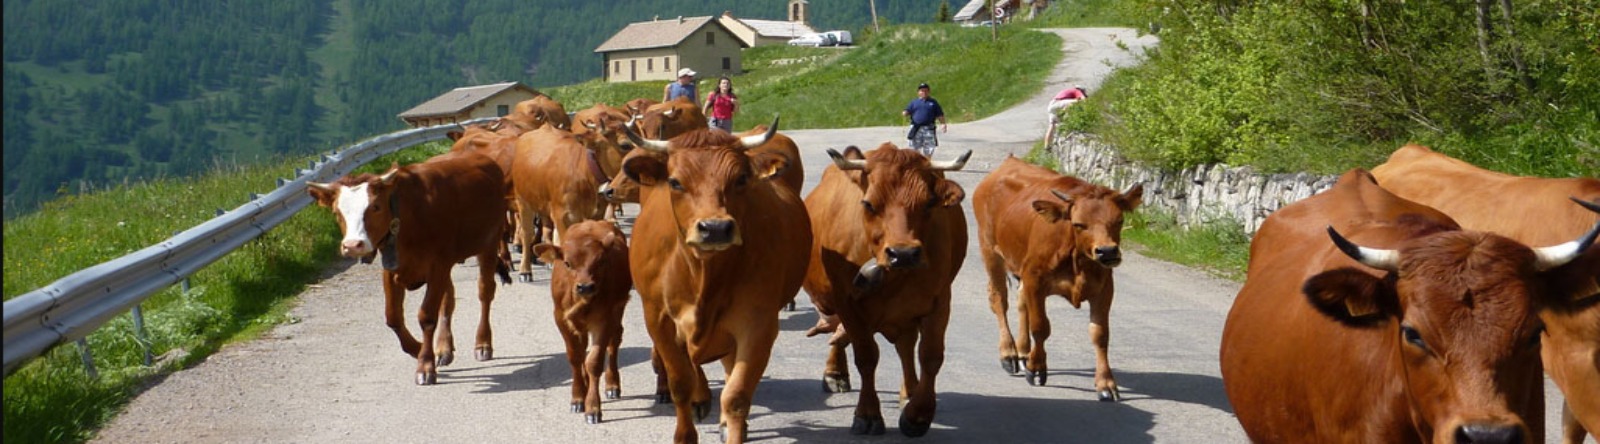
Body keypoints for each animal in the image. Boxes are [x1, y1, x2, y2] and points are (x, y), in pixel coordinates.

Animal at [306, 150, 510, 385]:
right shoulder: (392, 269)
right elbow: (393, 317)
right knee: (448, 301)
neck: (407, 218)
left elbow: (426, 316)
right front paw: (419, 348)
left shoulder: (438, 265)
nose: (352, 245)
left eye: (375, 207)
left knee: (485, 292)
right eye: (337, 212)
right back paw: (444, 348)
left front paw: (425, 364)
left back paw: (483, 343)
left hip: (489, 243)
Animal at [530, 220, 632, 425]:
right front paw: (578, 397)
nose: (585, 286)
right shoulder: (561, 319)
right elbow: (575, 357)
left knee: (614, 341)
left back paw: (612, 385)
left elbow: (593, 361)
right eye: (567, 263)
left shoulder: (604, 320)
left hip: (618, 310)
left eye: (601, 261)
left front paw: (592, 407)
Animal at [621, 120, 812, 443]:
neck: (703, 275)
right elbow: (680, 384)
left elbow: (736, 395)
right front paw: (686, 432)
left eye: (741, 178)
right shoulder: (658, 320)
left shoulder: (757, 324)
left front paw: (733, 426)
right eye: (675, 182)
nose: (715, 228)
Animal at [801, 144, 970, 437]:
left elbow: (930, 356)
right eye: (869, 204)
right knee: (841, 338)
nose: (903, 254)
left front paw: (917, 414)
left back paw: (909, 392)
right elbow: (866, 357)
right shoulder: (848, 303)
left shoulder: (939, 301)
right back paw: (835, 373)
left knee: (905, 347)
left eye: (929, 203)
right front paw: (867, 414)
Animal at [971, 155, 1143, 401]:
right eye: (1078, 224)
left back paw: (1023, 352)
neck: (1077, 260)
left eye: (1119, 220)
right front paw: (1036, 368)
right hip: (990, 251)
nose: (1108, 251)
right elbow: (1041, 327)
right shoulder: (1035, 280)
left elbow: (1100, 334)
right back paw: (1009, 353)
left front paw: (1106, 384)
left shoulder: (1104, 288)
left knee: (1021, 303)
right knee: (999, 300)